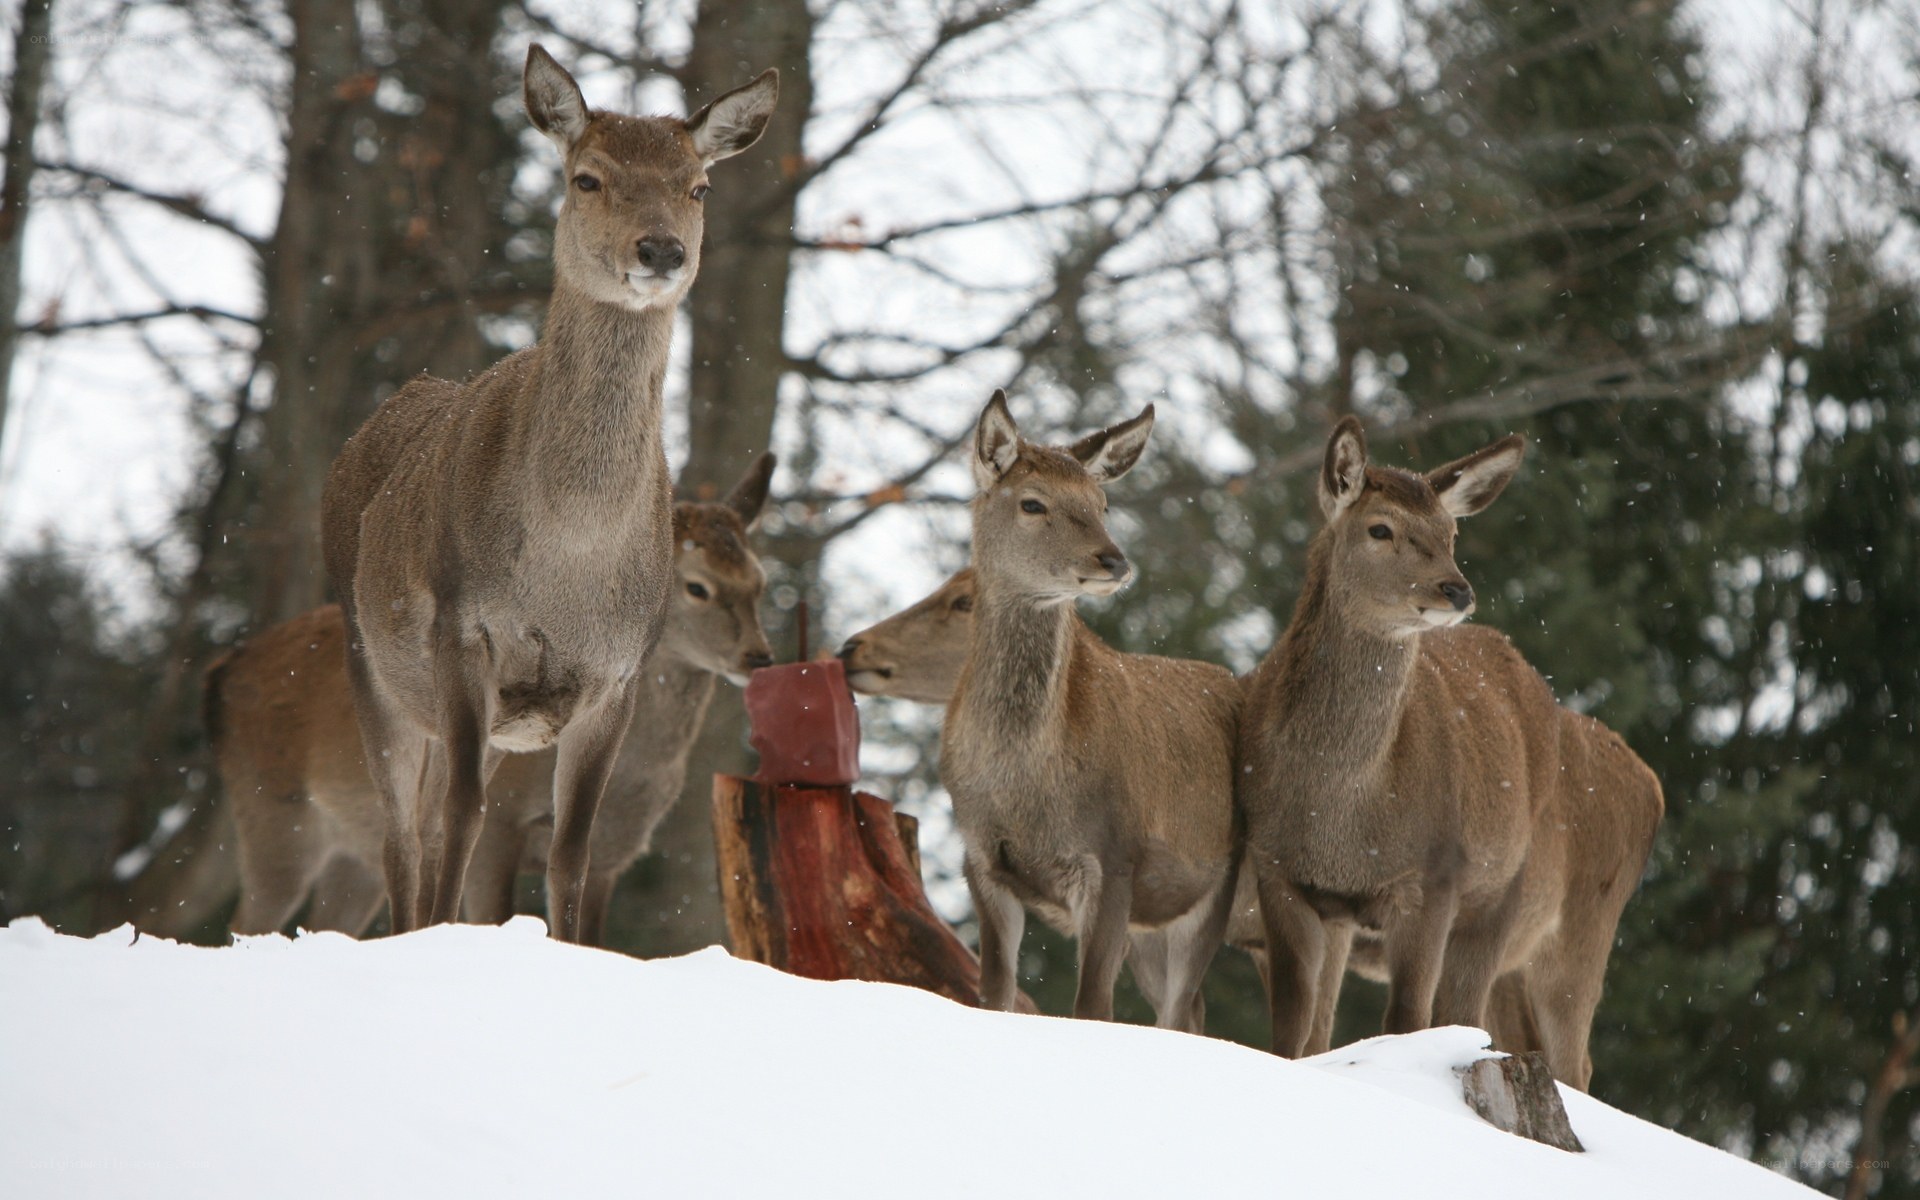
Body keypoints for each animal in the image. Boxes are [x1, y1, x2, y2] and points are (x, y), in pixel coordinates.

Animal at [208, 464, 776, 942]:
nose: (760, 656)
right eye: (697, 587)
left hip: (349, 855)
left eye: (759, 581)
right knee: (246, 920)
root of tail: (222, 670)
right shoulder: (503, 824)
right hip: (272, 812)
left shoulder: (615, 854)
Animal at [318, 46, 777, 940]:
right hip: (372, 665)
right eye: (588, 178)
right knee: (406, 834)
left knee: (428, 824)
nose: (661, 250)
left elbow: (571, 851)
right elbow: (464, 817)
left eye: (699, 186)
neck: (568, 565)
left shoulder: (612, 678)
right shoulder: (464, 632)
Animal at [940, 390, 1240, 1034]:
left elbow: (1092, 1007)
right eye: (1032, 502)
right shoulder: (980, 857)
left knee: (1180, 1009)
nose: (1114, 561)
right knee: (1190, 1010)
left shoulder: (1112, 856)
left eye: (1102, 503)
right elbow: (994, 993)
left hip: (1218, 887)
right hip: (1152, 927)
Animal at [1236, 416, 1663, 1088]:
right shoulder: (1282, 873)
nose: (1456, 590)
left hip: (1546, 909)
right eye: (1379, 528)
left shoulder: (1434, 876)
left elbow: (1407, 1020)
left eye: (1450, 533)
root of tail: (1654, 784)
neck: (1340, 816)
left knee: (1554, 1049)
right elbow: (1294, 1033)